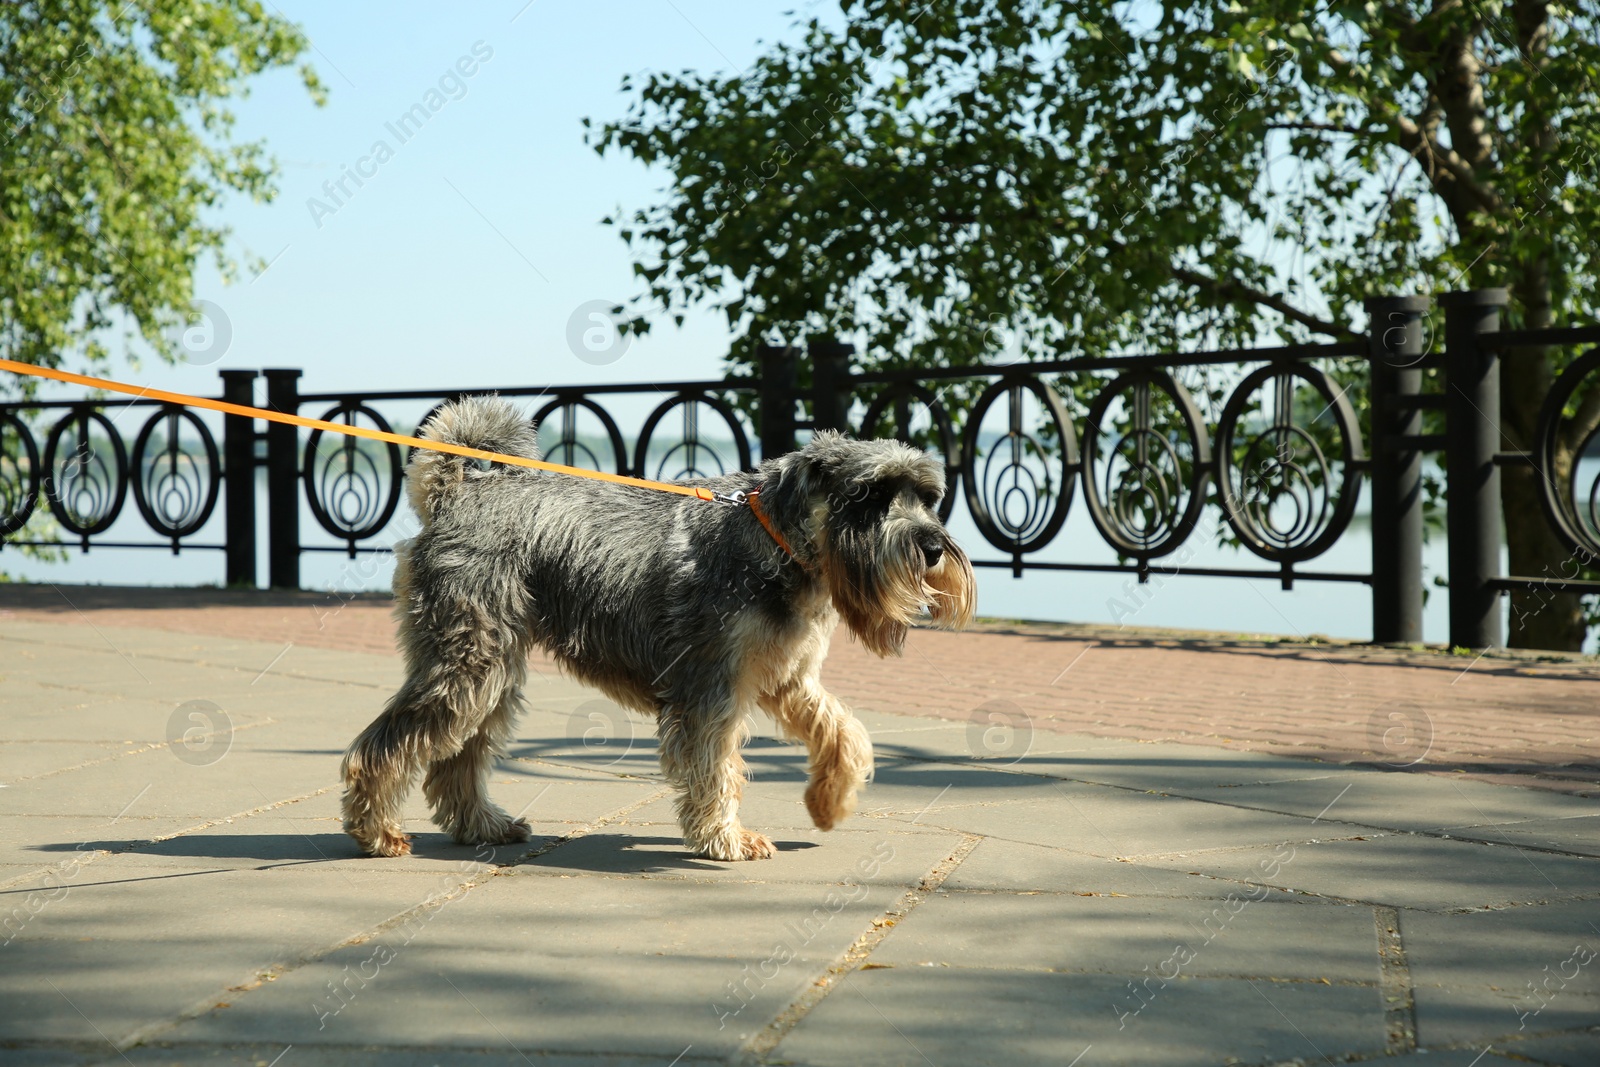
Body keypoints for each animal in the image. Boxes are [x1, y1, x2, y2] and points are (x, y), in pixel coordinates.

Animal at [340, 396, 972, 863]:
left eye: (927, 497)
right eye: (869, 494)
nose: (933, 547)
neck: (779, 542)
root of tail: (455, 495)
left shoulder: (787, 678)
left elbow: (845, 730)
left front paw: (829, 803)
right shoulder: (711, 688)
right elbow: (716, 766)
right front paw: (727, 839)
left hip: (491, 676)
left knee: (456, 759)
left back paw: (483, 827)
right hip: (469, 663)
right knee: (388, 746)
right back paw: (377, 833)